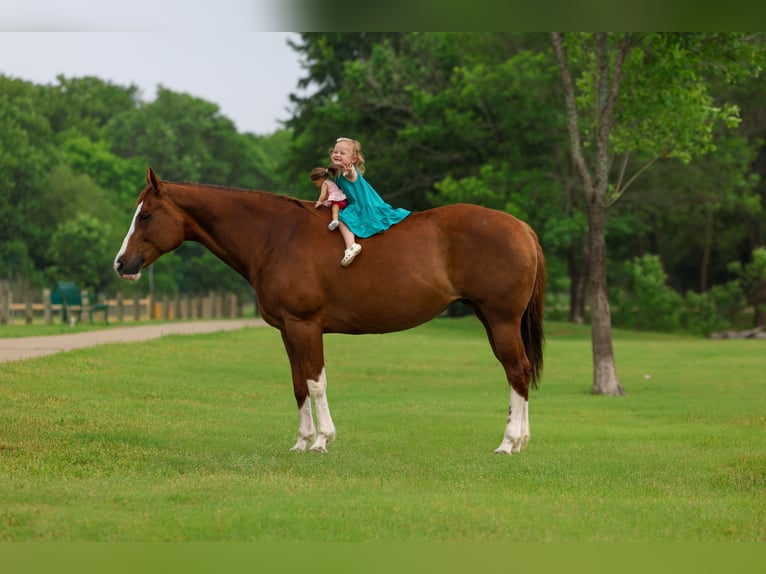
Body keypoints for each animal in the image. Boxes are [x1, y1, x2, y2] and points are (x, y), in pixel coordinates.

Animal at [114, 167, 546, 454]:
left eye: (146, 215)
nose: (121, 264)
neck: (275, 236)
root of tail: (522, 228)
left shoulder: (305, 326)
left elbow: (316, 381)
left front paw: (322, 440)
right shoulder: (287, 329)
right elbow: (298, 385)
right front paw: (301, 442)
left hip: (500, 320)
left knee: (516, 371)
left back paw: (510, 443)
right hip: (490, 318)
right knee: (519, 371)